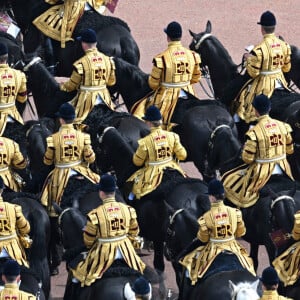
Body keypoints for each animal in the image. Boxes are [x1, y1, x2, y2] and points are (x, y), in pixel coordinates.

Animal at [205, 124, 300, 270]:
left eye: (210, 144)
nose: (206, 169)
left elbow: (253, 260)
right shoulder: (255, 239)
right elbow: (254, 259)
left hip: (272, 248)